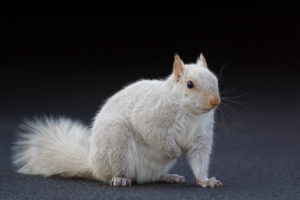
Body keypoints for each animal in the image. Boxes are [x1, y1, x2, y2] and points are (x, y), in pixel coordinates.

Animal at [11, 53, 223, 188]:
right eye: (190, 84)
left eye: (216, 81)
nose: (215, 101)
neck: (191, 113)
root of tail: (94, 168)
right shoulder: (152, 114)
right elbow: (152, 132)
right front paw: (174, 151)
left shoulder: (201, 136)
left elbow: (199, 158)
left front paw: (205, 181)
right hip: (116, 141)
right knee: (120, 174)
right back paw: (120, 179)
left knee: (148, 178)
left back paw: (167, 177)